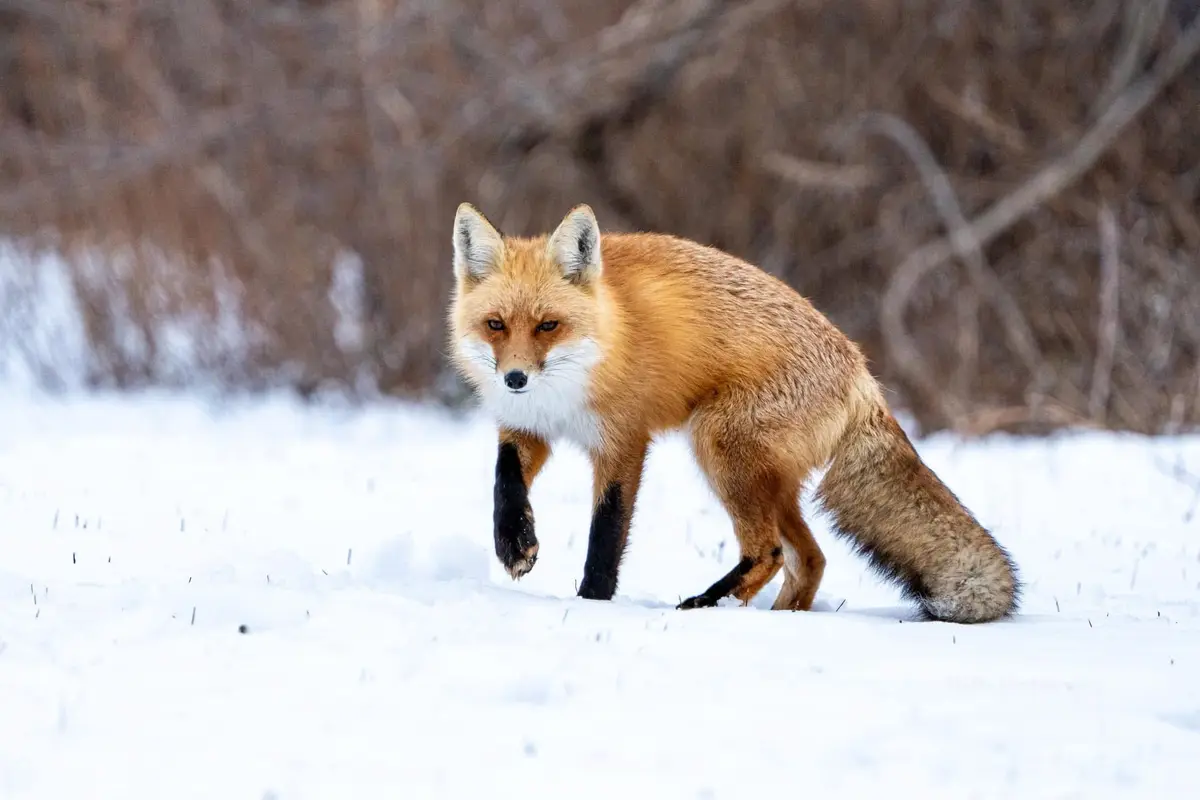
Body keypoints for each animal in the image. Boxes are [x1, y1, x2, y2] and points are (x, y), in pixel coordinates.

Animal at [446, 202, 1020, 623]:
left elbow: (606, 534)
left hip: (719, 443)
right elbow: (504, 481)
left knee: (768, 553)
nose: (515, 378)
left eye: (548, 325)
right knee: (810, 558)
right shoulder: (526, 427)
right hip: (767, 479)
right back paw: (780, 620)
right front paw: (514, 542)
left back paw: (704, 606)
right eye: (496, 325)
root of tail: (864, 377)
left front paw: (592, 604)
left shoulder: (624, 440)